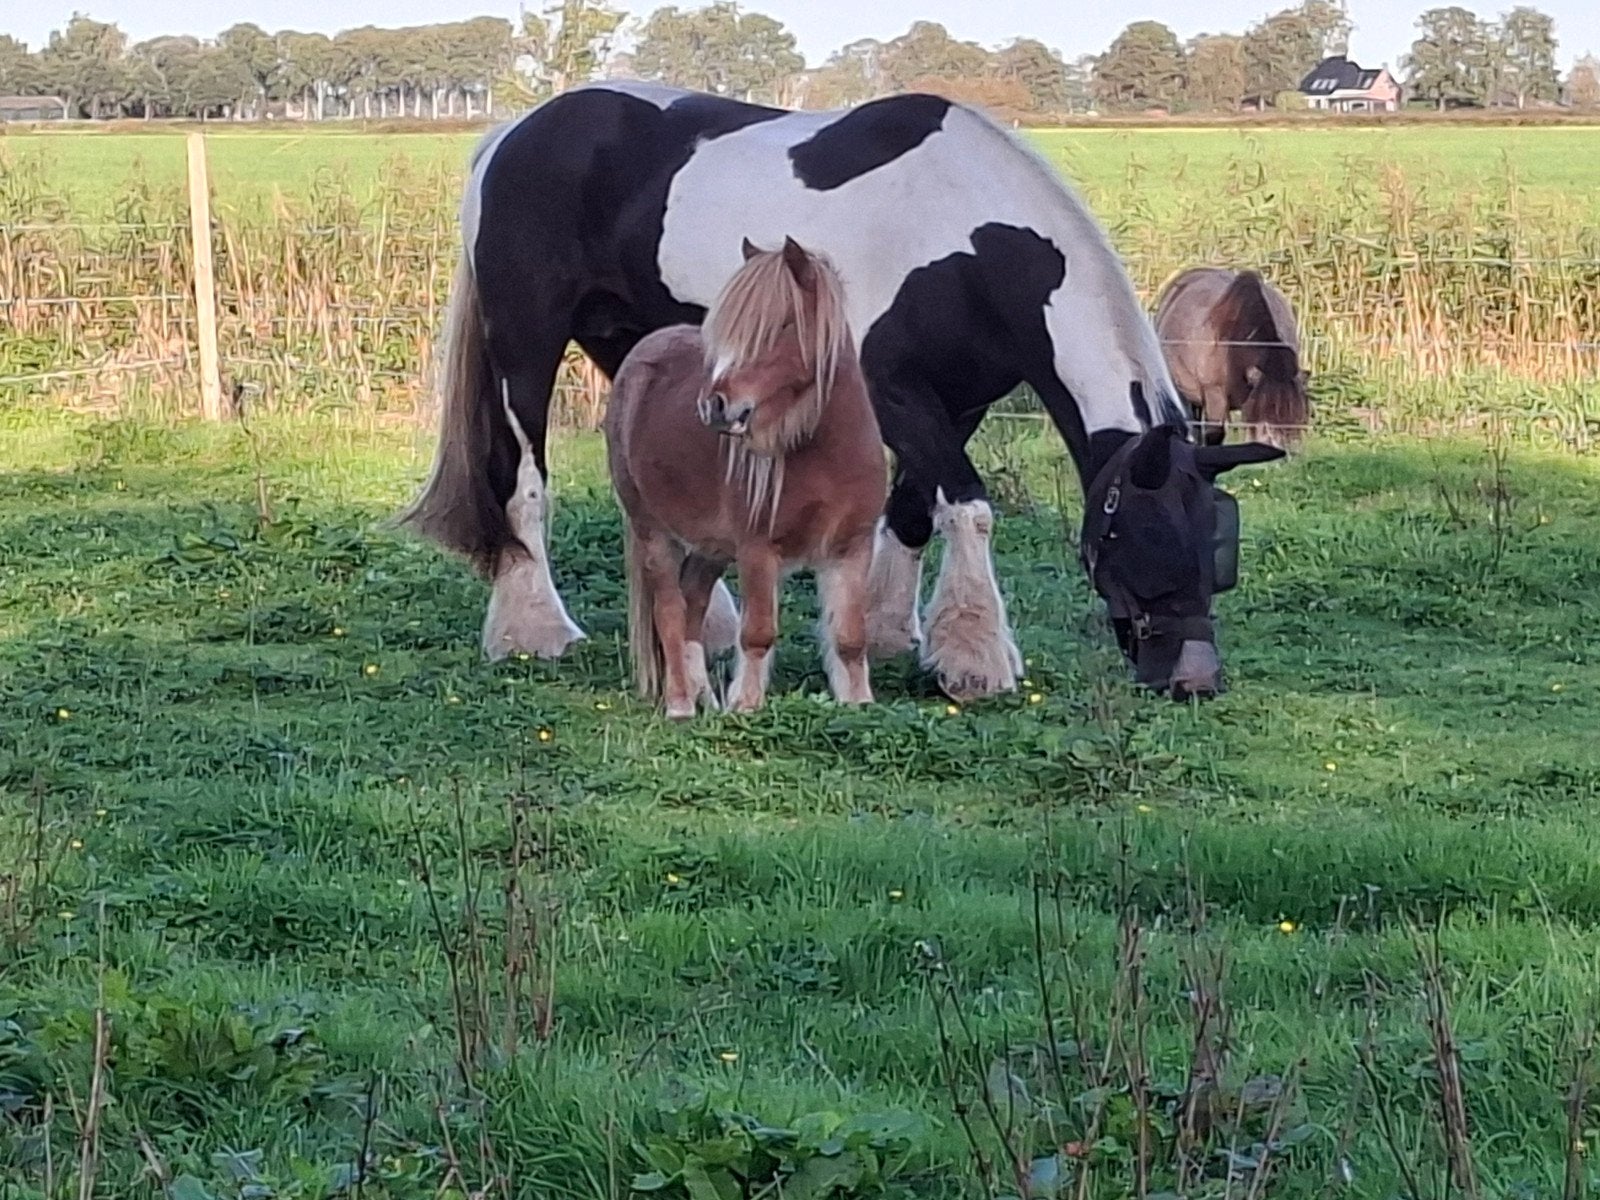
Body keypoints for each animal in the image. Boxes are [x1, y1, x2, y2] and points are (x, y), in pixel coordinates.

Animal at [605, 237, 884, 718]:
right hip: (653, 532)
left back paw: (704, 696)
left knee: (693, 602)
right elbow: (758, 633)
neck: (824, 452)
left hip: (712, 548)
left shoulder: (853, 546)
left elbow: (851, 637)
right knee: (669, 611)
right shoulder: (757, 549)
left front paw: (858, 705)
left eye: (781, 325)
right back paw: (680, 705)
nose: (714, 406)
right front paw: (746, 705)